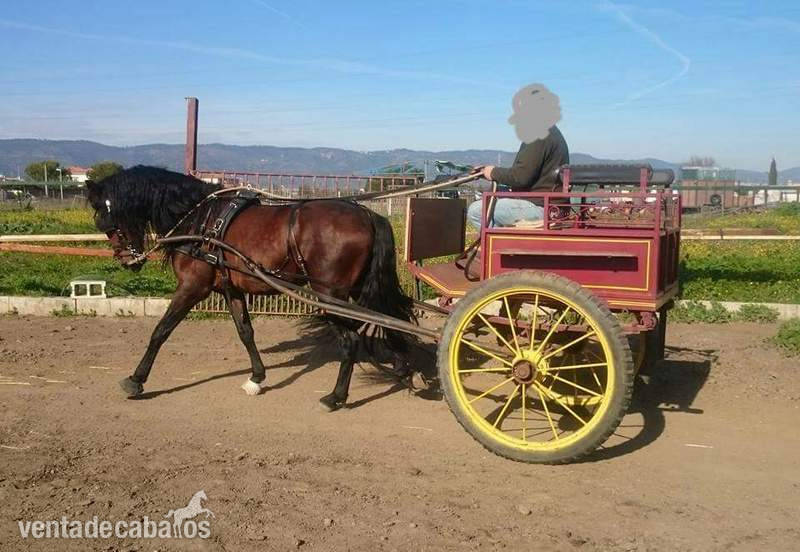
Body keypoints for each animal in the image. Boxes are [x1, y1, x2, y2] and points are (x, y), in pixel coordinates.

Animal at [86, 165, 415, 411]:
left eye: (107, 217)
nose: (126, 260)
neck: (200, 219)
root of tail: (368, 215)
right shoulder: (230, 288)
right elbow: (245, 331)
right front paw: (256, 378)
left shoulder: (193, 287)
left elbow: (161, 331)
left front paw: (136, 379)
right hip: (357, 290)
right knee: (387, 320)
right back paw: (402, 367)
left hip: (330, 295)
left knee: (351, 340)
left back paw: (336, 397)